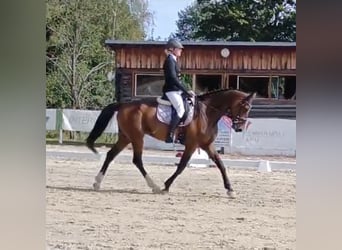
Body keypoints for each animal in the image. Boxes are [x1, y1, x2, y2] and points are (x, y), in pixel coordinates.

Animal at [86, 89, 256, 198]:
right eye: (245, 107)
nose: (239, 128)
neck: (207, 113)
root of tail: (123, 104)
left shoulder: (207, 145)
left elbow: (221, 165)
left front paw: (230, 190)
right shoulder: (192, 144)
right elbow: (181, 166)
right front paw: (166, 186)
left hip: (126, 137)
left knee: (111, 155)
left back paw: (97, 183)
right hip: (137, 137)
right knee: (137, 160)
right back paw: (154, 186)